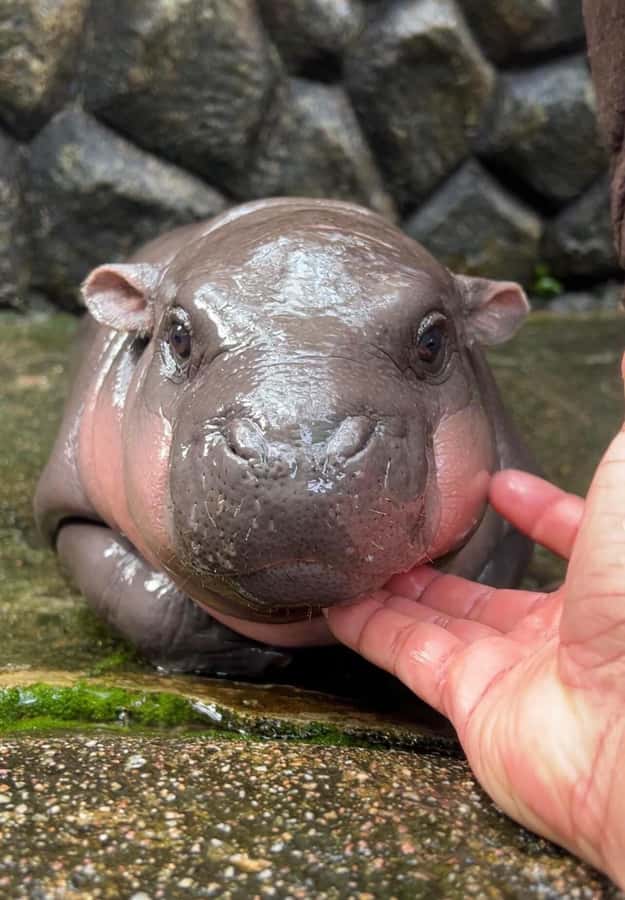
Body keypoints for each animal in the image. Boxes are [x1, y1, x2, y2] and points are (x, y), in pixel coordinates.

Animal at [35, 198, 534, 677]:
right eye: (177, 335)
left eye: (433, 341)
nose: (299, 459)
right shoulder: (67, 509)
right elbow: (144, 602)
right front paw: (248, 656)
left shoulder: (505, 534)